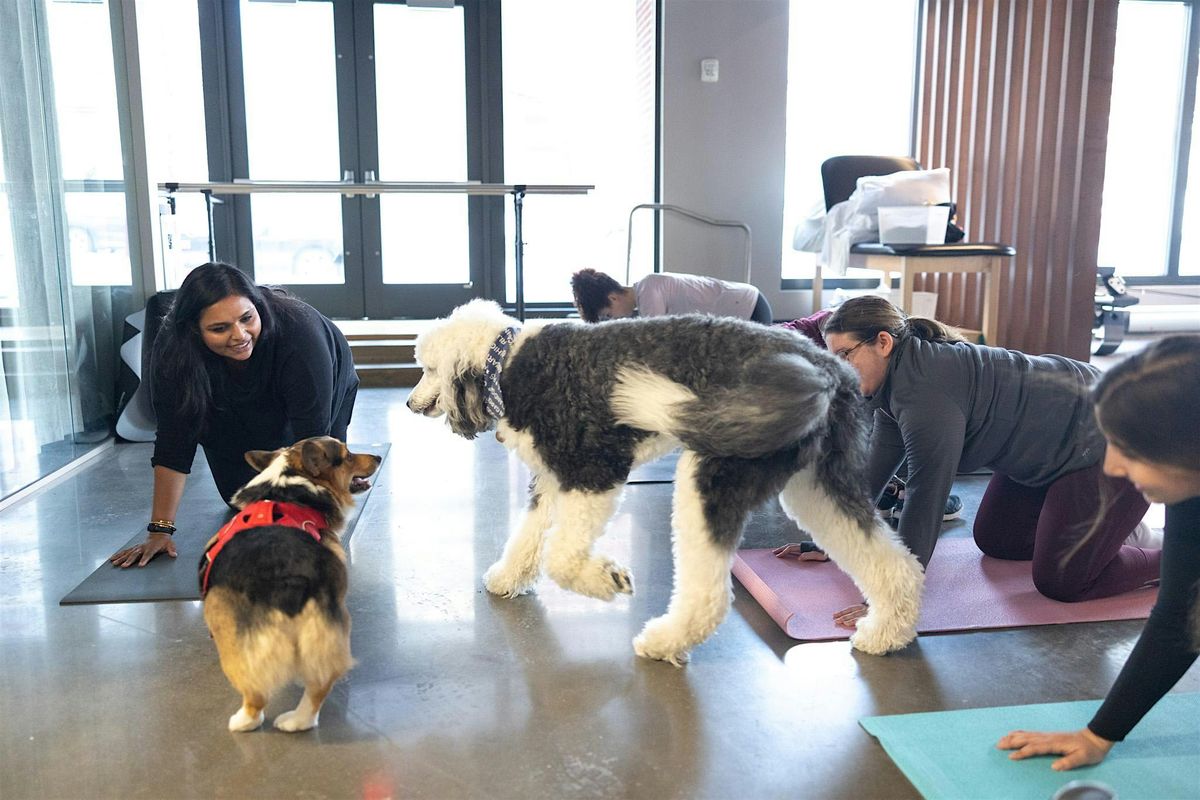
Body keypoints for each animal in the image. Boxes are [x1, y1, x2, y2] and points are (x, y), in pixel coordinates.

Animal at [199, 438, 381, 734]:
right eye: (347, 456)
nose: (378, 457)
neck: (288, 483)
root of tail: (287, 578)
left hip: (231, 640)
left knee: (259, 693)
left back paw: (252, 721)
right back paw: (294, 721)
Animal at [408, 298, 921, 662]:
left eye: (428, 368)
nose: (411, 404)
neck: (511, 363)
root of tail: (828, 373)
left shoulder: (595, 472)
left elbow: (562, 558)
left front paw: (607, 579)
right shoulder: (555, 480)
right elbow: (529, 537)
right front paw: (508, 577)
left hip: (711, 476)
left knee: (710, 595)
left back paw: (665, 641)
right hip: (817, 486)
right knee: (892, 561)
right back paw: (887, 634)